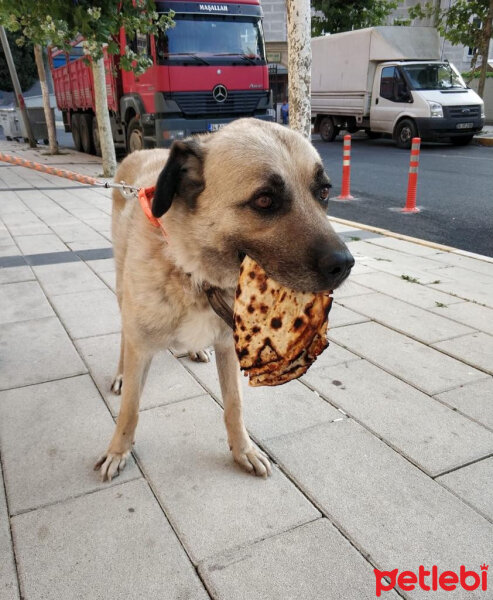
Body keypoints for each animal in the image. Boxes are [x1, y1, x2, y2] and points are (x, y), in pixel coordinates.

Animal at [93, 118, 354, 482]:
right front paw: (119, 449)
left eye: (325, 192)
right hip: (121, 290)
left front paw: (243, 450)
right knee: (124, 336)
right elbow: (129, 409)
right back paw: (120, 371)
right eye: (264, 200)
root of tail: (142, 151)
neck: (195, 273)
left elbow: (234, 406)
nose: (345, 264)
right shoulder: (142, 346)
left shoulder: (228, 347)